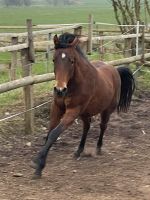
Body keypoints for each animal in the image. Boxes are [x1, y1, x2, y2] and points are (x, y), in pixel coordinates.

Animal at [31, 32, 135, 178]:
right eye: (54, 60)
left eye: (72, 61)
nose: (59, 90)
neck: (74, 85)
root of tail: (115, 70)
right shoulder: (56, 107)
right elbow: (50, 132)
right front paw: (38, 162)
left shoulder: (73, 111)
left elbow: (54, 133)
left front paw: (39, 165)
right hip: (85, 113)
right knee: (86, 127)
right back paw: (79, 151)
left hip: (106, 110)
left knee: (103, 126)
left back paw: (98, 148)